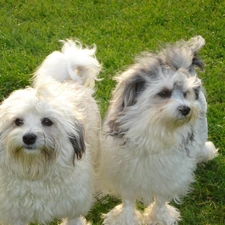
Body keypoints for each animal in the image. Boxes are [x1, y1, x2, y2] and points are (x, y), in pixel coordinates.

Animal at [0, 39, 101, 224]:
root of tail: (71, 81)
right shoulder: (15, 214)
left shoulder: (74, 207)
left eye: (47, 121)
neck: (36, 171)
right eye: (18, 121)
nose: (29, 138)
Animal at [99, 36, 217, 224]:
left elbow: (160, 200)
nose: (186, 109)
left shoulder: (166, 176)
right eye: (164, 93)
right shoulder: (126, 173)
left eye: (185, 93)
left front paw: (160, 218)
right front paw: (125, 218)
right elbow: (127, 201)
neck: (155, 126)